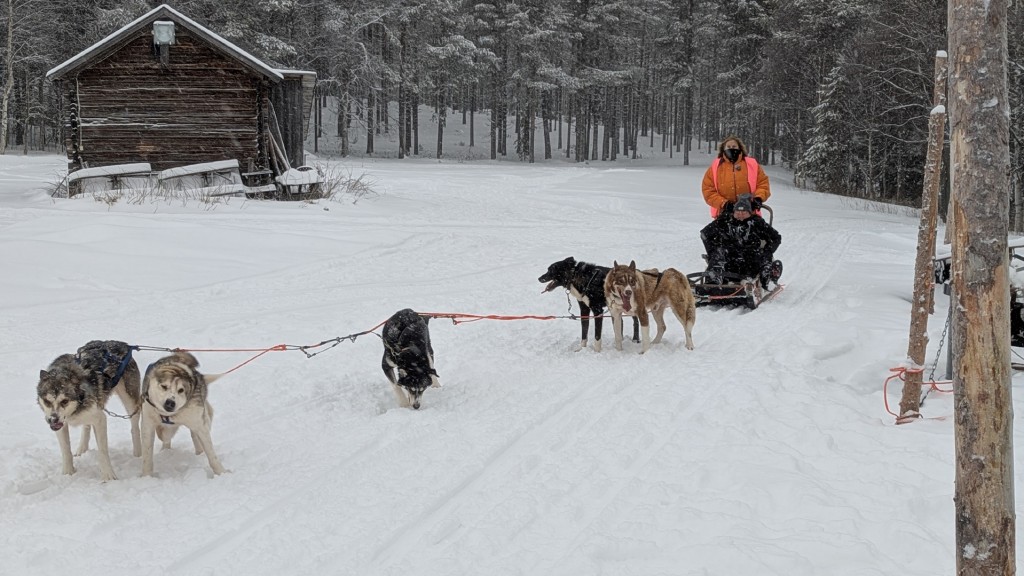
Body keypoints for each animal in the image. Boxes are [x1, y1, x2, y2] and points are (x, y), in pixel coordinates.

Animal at [37, 338, 142, 477]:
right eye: (47, 401)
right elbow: (66, 450)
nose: (52, 420)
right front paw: (68, 472)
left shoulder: (100, 419)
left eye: (64, 401)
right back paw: (82, 448)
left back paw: (138, 453)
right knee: (86, 426)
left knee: (134, 426)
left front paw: (108, 475)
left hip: (129, 400)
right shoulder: (62, 425)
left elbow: (102, 451)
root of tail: (123, 344)